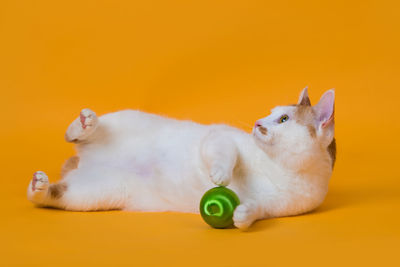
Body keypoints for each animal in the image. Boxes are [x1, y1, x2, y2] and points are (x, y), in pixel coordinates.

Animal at [26, 88, 336, 230]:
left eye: (283, 119)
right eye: (270, 113)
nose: (257, 123)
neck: (277, 168)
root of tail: (82, 161)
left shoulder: (278, 206)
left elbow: (256, 209)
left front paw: (242, 216)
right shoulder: (221, 137)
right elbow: (226, 154)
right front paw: (222, 175)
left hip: (94, 193)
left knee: (52, 195)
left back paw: (39, 187)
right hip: (123, 120)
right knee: (79, 134)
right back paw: (84, 123)